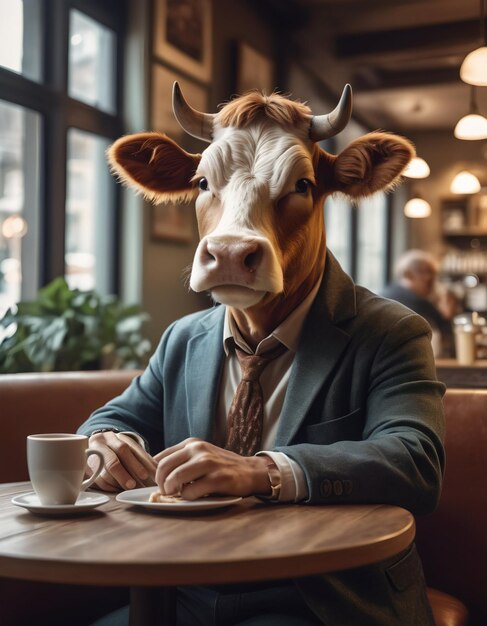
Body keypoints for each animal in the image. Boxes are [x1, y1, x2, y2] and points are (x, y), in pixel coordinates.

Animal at [81, 84, 446, 624]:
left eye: (303, 184)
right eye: (202, 181)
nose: (231, 253)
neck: (257, 337)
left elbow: (408, 444)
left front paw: (217, 465)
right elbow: (112, 414)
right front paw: (115, 452)